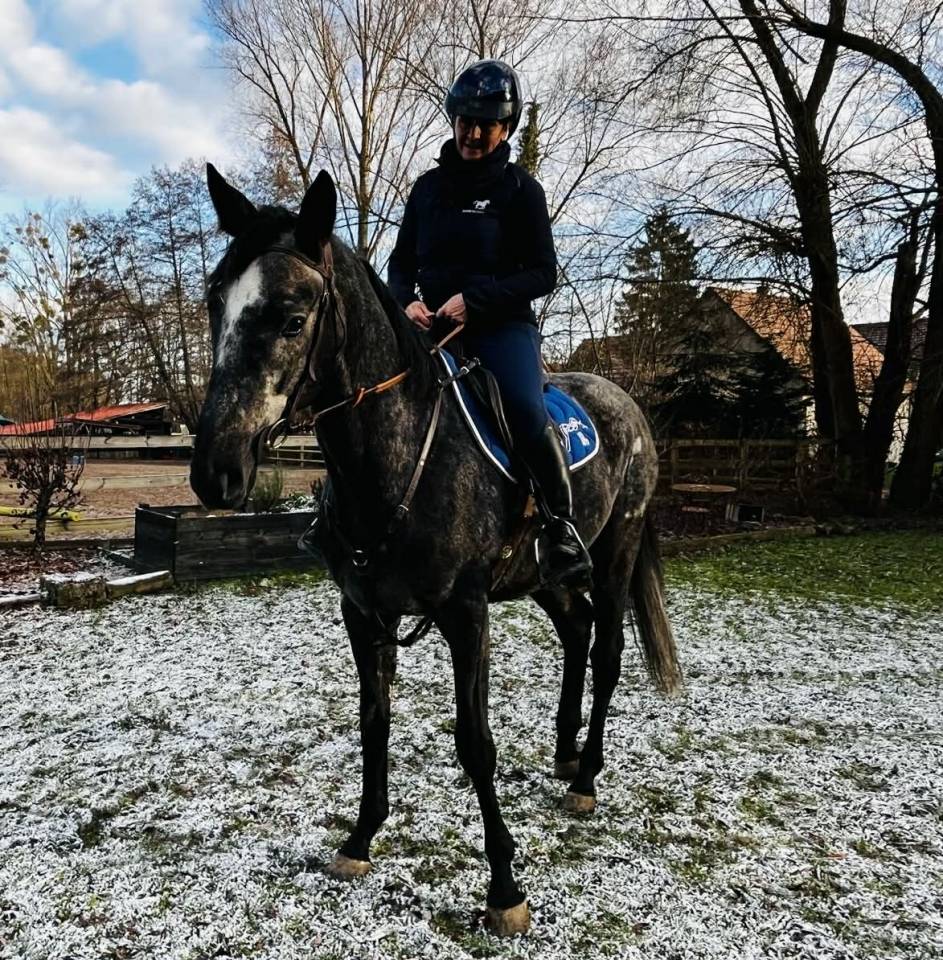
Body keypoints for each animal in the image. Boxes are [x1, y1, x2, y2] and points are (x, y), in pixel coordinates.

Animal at [190, 164, 682, 936]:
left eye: (293, 317)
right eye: (216, 303)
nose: (216, 471)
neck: (397, 459)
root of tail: (623, 401)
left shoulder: (465, 614)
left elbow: (475, 744)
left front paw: (504, 886)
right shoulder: (363, 614)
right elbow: (374, 723)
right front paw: (360, 838)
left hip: (616, 550)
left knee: (605, 651)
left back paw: (587, 776)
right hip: (544, 577)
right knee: (575, 632)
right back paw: (565, 751)